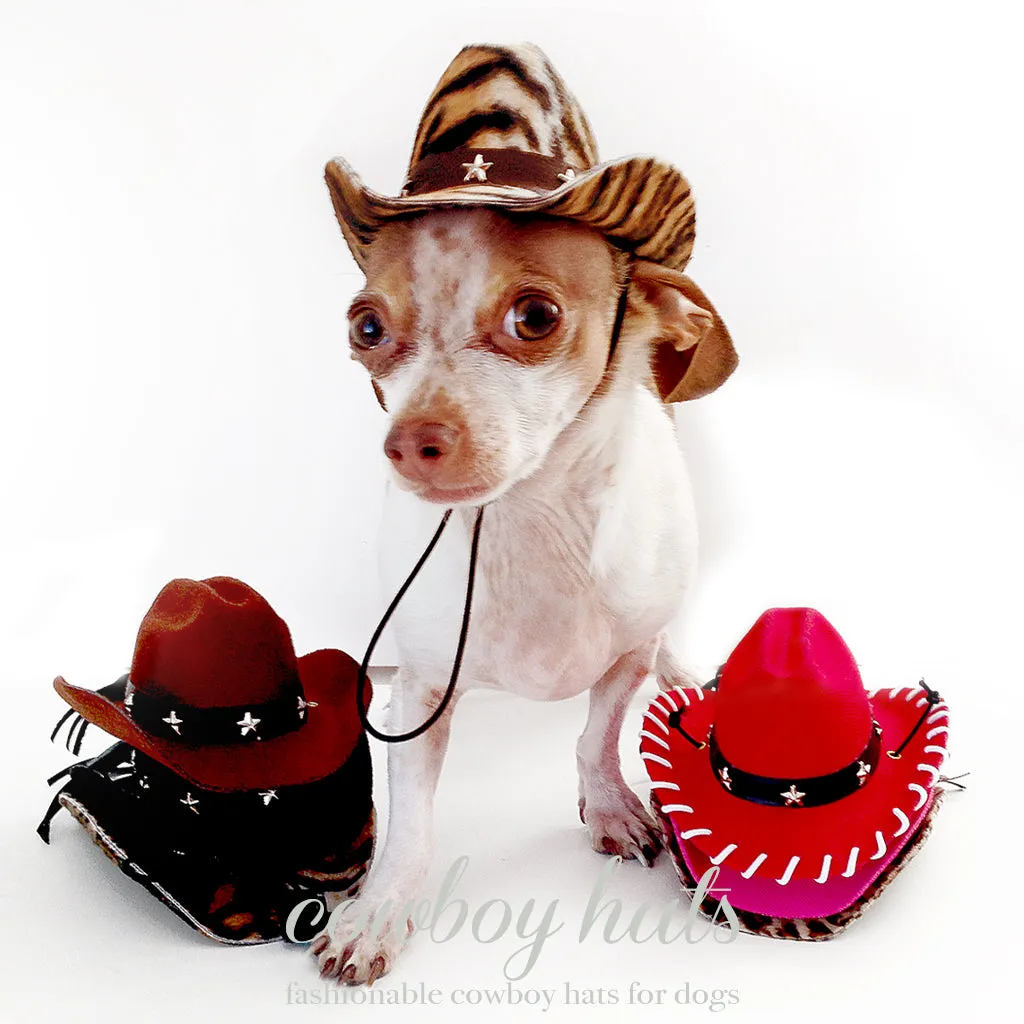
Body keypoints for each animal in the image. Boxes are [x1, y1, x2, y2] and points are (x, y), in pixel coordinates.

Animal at [311, 46, 737, 983]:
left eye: (535, 316)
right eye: (365, 327)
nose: (410, 441)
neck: (529, 522)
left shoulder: (623, 657)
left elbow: (596, 734)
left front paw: (609, 804)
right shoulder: (419, 691)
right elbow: (410, 826)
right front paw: (377, 912)